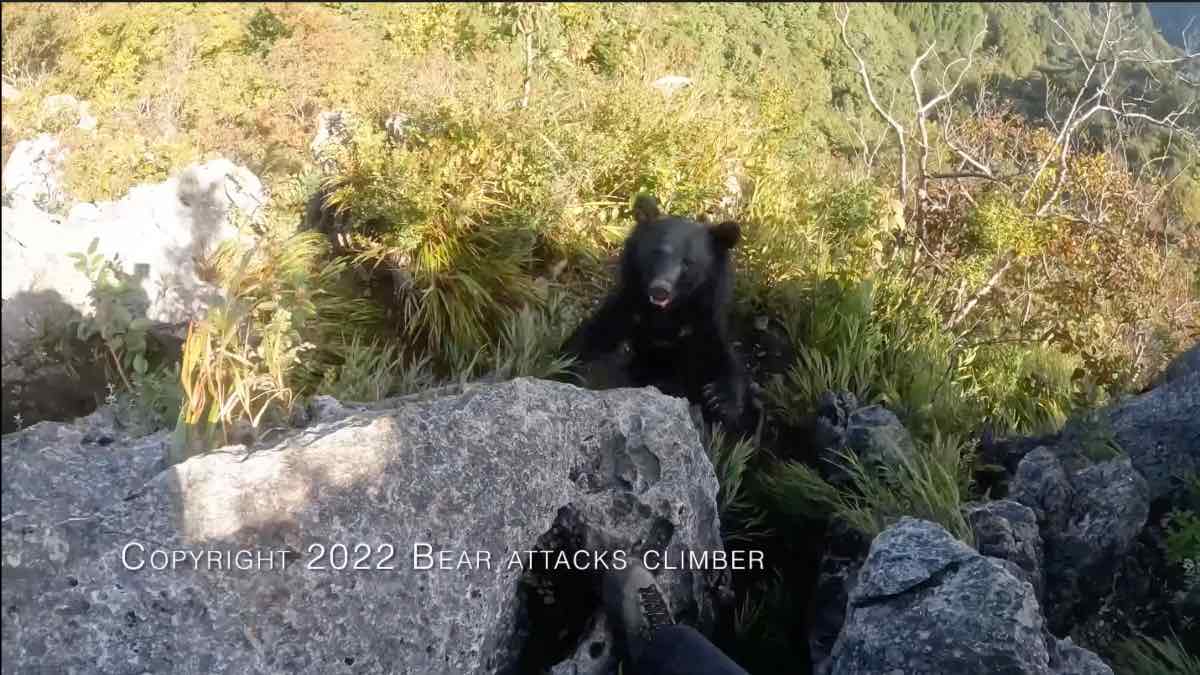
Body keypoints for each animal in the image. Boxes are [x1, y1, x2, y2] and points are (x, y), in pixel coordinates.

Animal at [562, 194, 752, 432]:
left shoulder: (702, 325)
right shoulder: (626, 310)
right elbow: (591, 342)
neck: (664, 315)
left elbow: (722, 361)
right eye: (656, 252)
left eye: (688, 263)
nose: (660, 289)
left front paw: (719, 399)